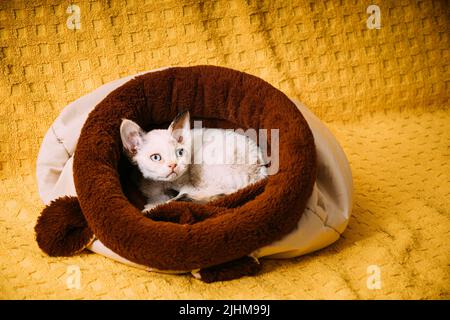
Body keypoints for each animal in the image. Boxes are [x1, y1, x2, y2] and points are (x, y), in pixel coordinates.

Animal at [119, 111, 268, 214]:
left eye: (180, 152)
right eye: (156, 157)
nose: (173, 165)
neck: (162, 185)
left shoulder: (189, 188)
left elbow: (169, 202)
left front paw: (151, 208)